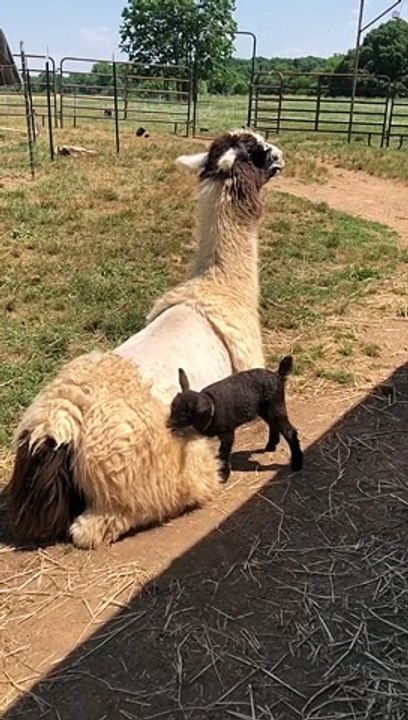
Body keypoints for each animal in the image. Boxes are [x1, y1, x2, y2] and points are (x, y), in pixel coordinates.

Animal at [7, 129, 285, 549]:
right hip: (154, 470)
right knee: (96, 525)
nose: (282, 156)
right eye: (257, 150)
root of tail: (59, 424)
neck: (222, 288)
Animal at [168, 358, 303, 481]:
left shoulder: (227, 432)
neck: (212, 407)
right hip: (265, 408)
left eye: (183, 414)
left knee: (290, 431)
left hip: (276, 405)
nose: (168, 424)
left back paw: (297, 463)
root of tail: (278, 375)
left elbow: (223, 451)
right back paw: (271, 446)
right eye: (172, 408)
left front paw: (224, 474)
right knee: (273, 424)